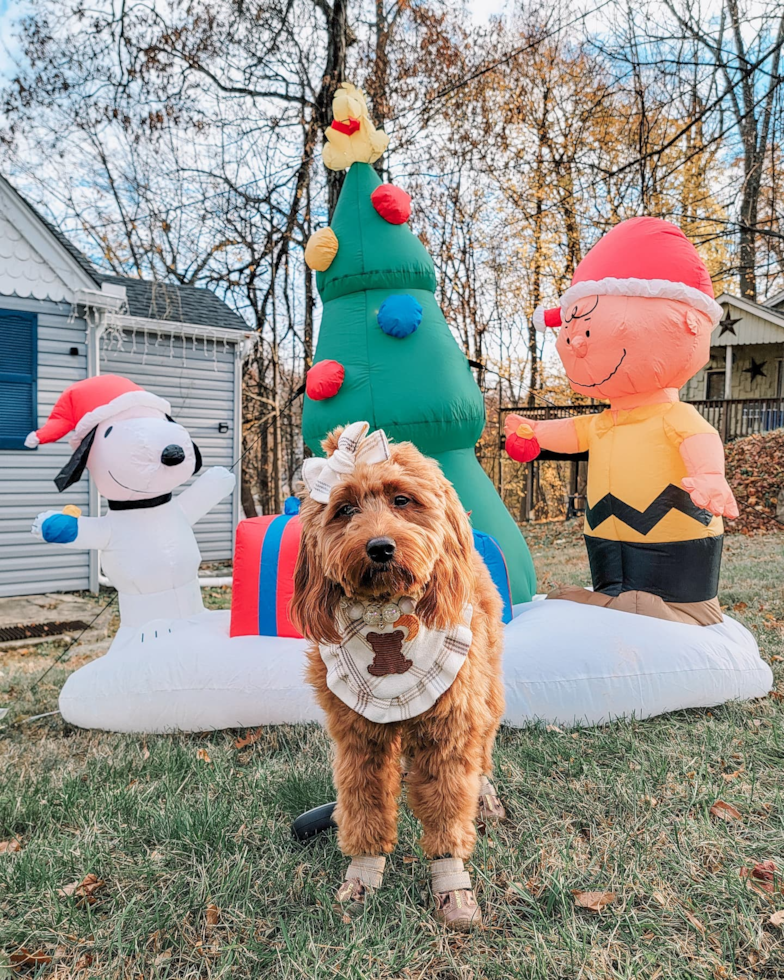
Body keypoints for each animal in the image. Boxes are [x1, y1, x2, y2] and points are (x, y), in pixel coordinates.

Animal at [290, 428, 506, 928]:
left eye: (402, 500)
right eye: (345, 508)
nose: (380, 547)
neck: (386, 611)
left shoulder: (448, 731)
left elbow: (448, 808)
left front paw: (452, 885)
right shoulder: (359, 738)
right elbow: (363, 802)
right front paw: (362, 876)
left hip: (486, 689)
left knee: (483, 747)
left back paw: (486, 794)